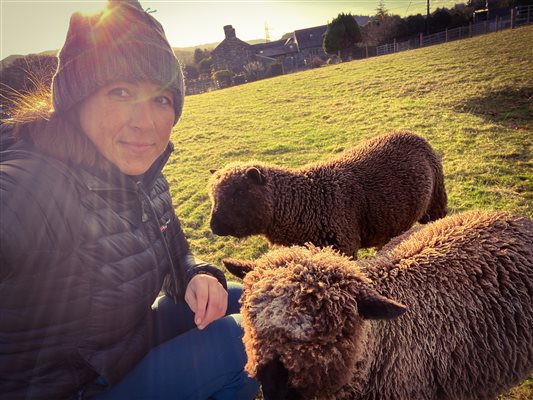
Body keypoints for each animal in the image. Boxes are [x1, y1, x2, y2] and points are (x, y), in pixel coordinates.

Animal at [208, 130, 444, 258]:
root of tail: (411, 134)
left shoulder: (343, 247)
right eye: (213, 196)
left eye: (239, 191)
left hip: (436, 203)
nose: (214, 226)